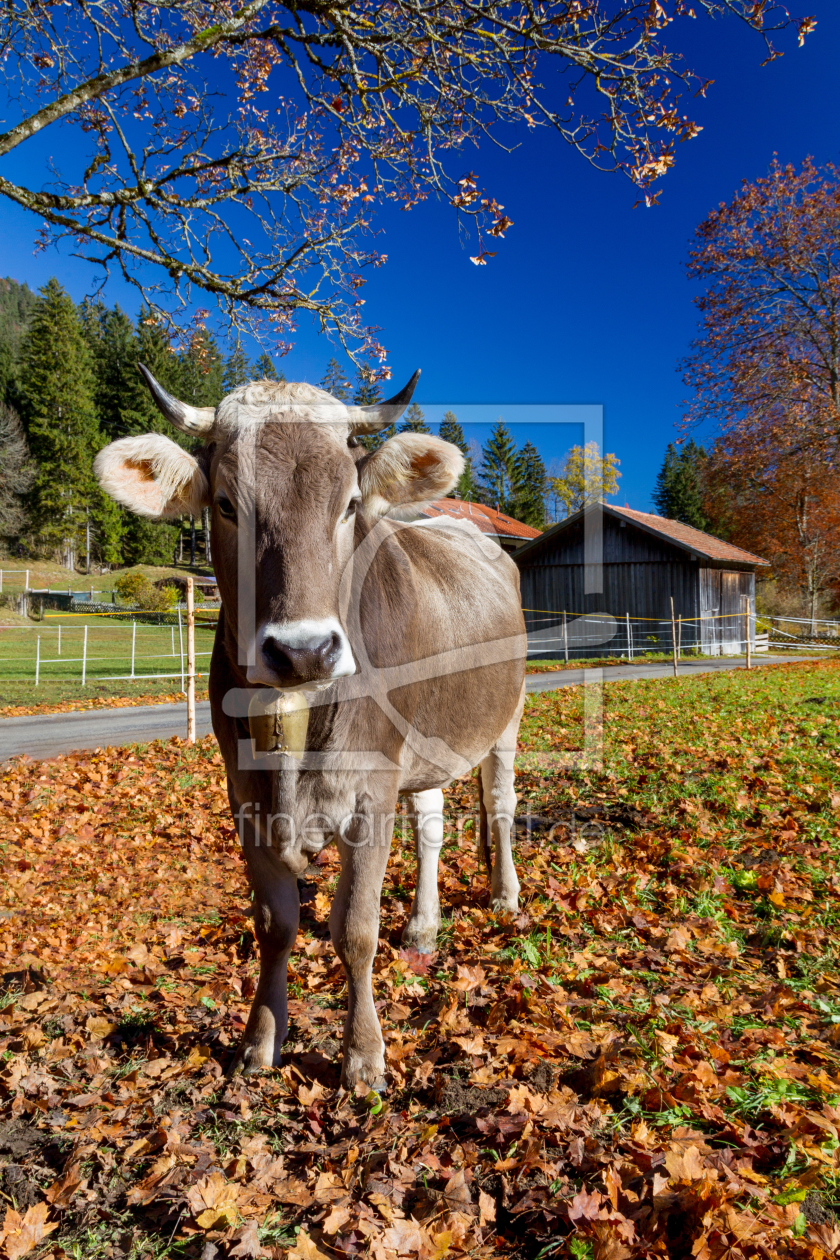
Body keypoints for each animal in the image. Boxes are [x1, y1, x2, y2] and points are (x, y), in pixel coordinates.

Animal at [93, 367, 526, 1093]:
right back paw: (424, 925)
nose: (303, 651)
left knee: (498, 804)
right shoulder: (244, 796)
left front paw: (364, 1056)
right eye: (227, 503)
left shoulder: (371, 789)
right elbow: (275, 923)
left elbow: (354, 928)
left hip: (505, 721)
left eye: (349, 504)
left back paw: (505, 896)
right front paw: (261, 1040)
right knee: (432, 824)